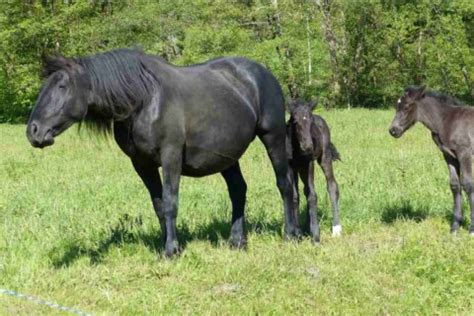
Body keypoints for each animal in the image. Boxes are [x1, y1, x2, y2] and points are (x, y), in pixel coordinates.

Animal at [25, 49, 298, 256]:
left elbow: (170, 202)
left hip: (272, 136)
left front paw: (171, 250)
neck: (144, 101)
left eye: (62, 86)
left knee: (284, 184)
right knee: (238, 190)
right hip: (227, 156)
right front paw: (165, 245)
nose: (33, 131)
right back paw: (237, 241)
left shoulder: (171, 158)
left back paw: (290, 234)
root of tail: (263, 73)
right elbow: (158, 205)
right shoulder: (142, 164)